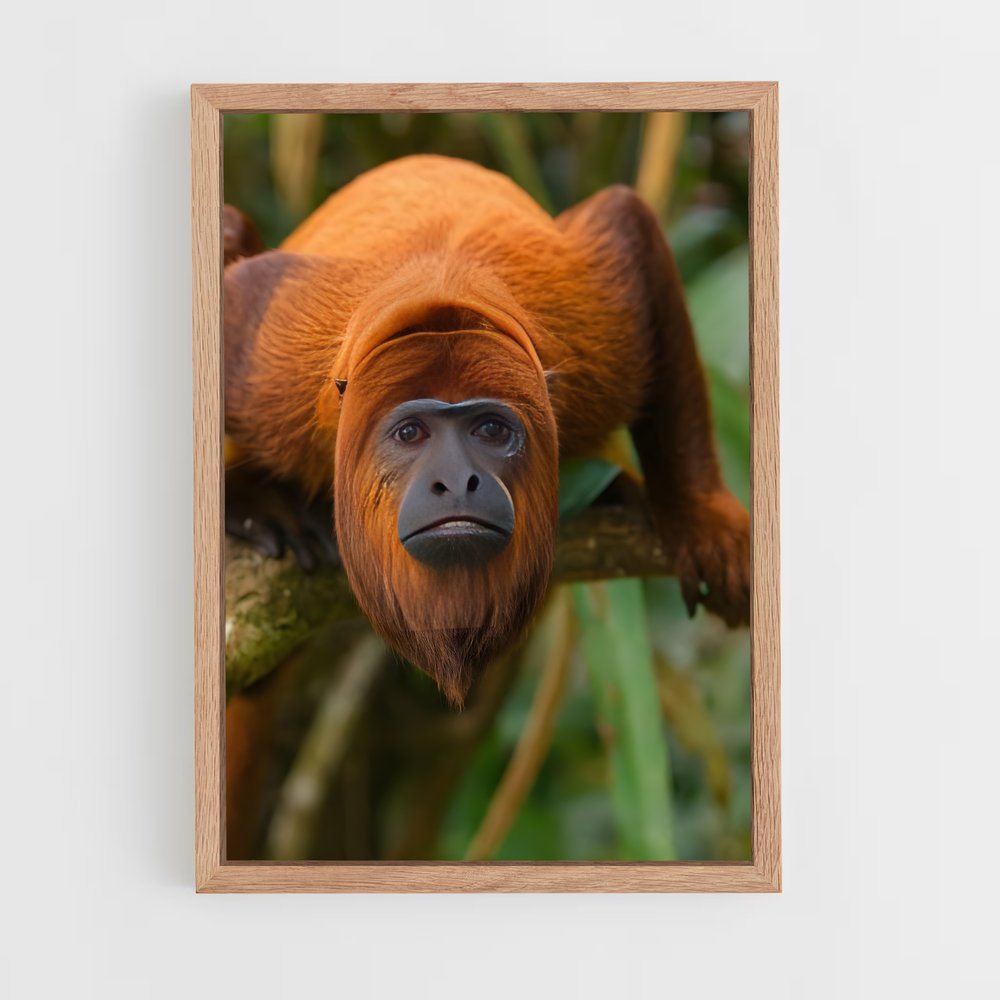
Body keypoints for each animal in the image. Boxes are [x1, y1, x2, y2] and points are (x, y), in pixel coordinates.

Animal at [223, 154, 750, 707]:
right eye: (409, 433)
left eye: (492, 429)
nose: (456, 482)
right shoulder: (275, 366)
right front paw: (247, 500)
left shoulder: (598, 328)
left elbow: (627, 223)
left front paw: (702, 518)